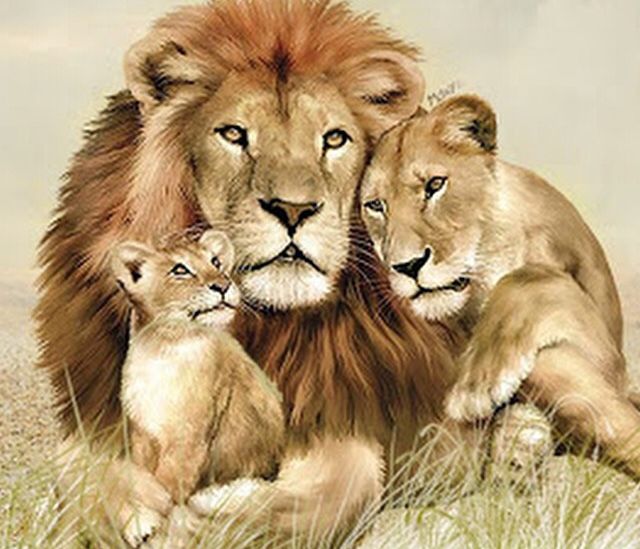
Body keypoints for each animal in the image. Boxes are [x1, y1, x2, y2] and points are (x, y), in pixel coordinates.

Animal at [36, 0, 465, 542]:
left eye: (335, 139)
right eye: (234, 134)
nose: (294, 209)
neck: (269, 324)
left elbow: (345, 478)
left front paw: (215, 518)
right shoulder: (96, 413)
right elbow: (81, 470)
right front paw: (129, 510)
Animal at [361, 94, 640, 478]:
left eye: (435, 185)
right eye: (376, 205)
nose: (408, 265)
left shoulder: (610, 361)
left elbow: (528, 278)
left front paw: (476, 387)